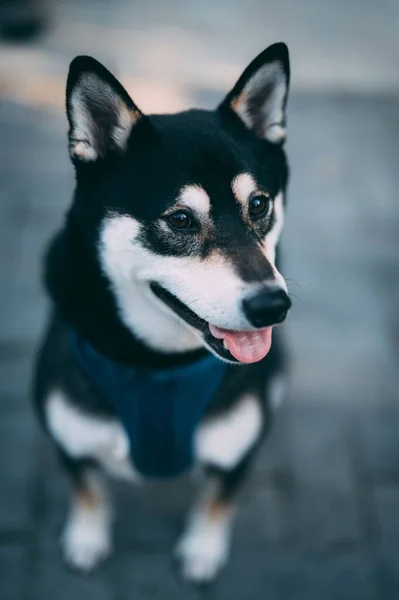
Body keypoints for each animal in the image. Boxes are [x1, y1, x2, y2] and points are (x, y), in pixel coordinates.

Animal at [32, 43, 292, 584]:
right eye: (180, 219)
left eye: (259, 204)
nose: (272, 306)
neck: (157, 365)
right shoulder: (71, 442)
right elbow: (87, 491)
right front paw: (86, 538)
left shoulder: (236, 455)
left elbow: (217, 501)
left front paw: (202, 549)